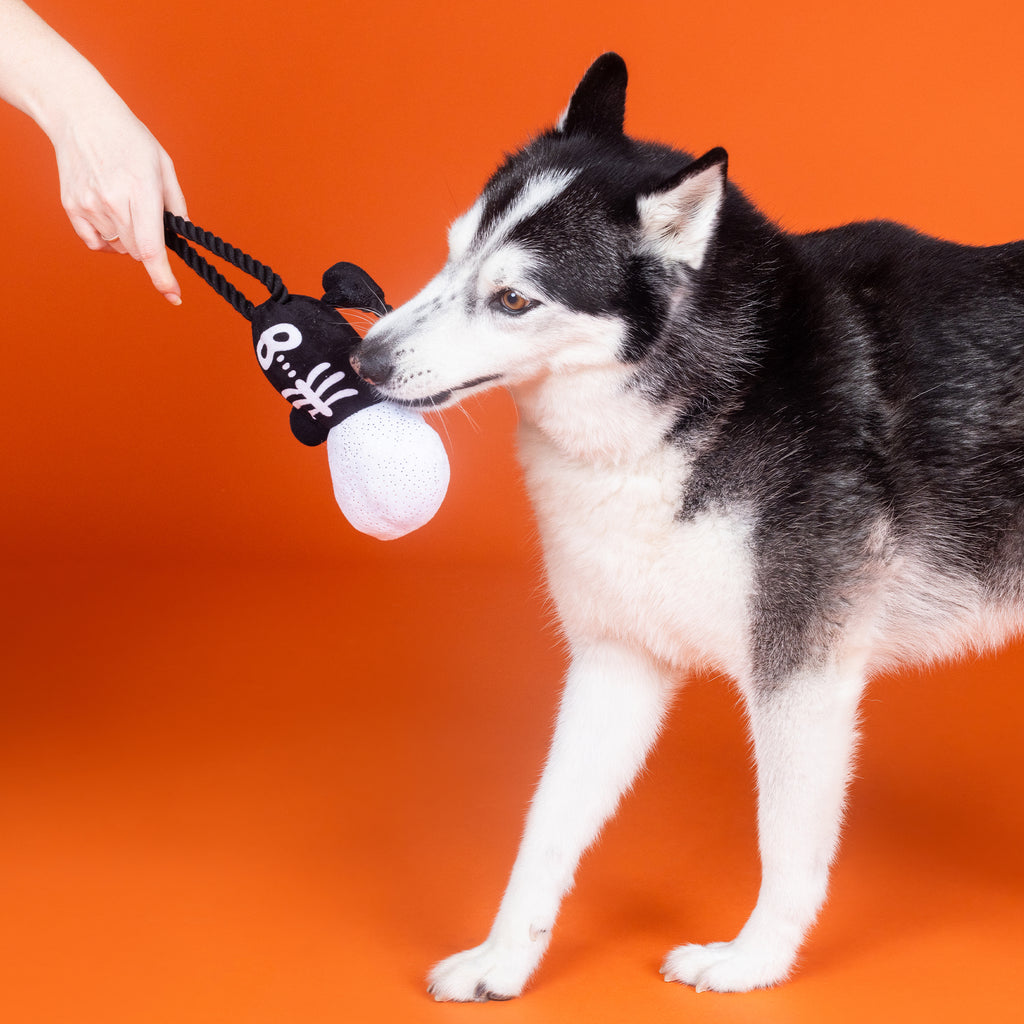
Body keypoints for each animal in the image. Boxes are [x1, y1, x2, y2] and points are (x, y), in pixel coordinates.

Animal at [350, 54, 1024, 999]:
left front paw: (755, 961)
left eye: (513, 298)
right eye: (451, 256)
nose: (363, 360)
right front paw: (503, 959)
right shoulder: (615, 661)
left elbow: (786, 840)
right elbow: (544, 827)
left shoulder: (800, 675)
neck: (713, 393)